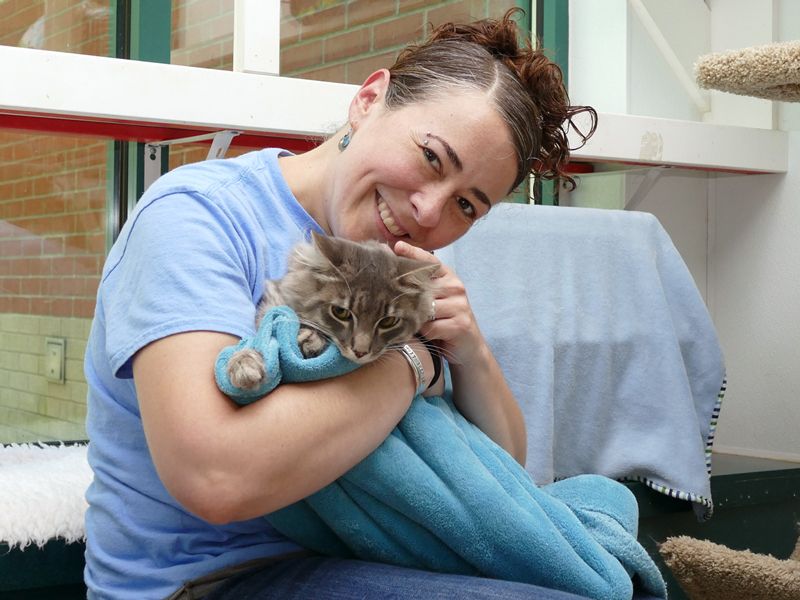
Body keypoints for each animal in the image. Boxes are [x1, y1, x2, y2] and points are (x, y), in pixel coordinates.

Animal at [227, 232, 438, 392]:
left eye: (388, 321)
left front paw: (310, 339)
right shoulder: (273, 303)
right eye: (340, 312)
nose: (360, 352)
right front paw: (244, 365)